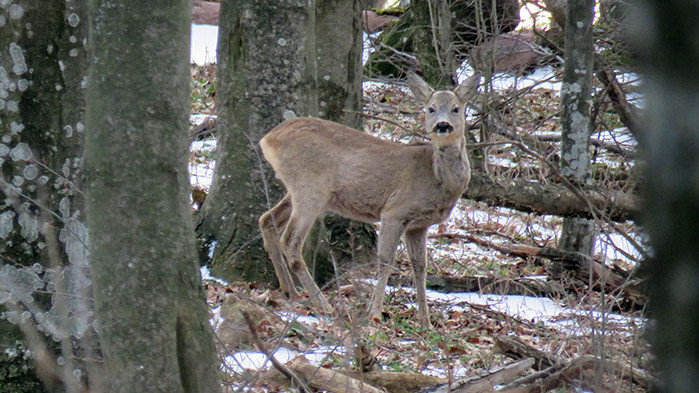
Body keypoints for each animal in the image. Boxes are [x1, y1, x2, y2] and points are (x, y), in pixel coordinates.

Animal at [258, 72, 482, 326]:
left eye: (456, 108)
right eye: (431, 108)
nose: (442, 126)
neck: (436, 177)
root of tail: (267, 139)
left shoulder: (418, 225)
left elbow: (420, 267)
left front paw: (425, 322)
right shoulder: (394, 211)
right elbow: (385, 260)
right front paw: (374, 313)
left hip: (299, 190)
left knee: (266, 220)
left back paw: (291, 292)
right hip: (310, 188)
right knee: (290, 241)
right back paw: (324, 305)